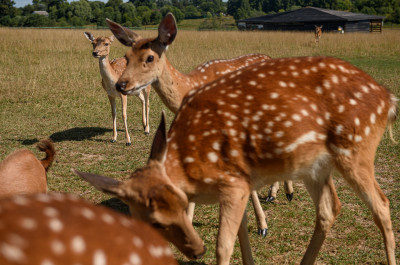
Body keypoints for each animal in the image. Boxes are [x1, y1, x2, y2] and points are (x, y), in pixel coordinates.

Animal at [74, 49, 396, 262]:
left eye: (149, 58)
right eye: (125, 58)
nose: (121, 84)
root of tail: (389, 100)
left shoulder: (234, 172)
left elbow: (225, 239)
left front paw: (262, 226)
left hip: (354, 150)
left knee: (381, 204)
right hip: (316, 165)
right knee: (331, 207)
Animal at [104, 13, 294, 234]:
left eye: (150, 57)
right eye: (126, 56)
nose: (121, 85)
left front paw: (262, 226)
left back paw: (284, 193)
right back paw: (278, 192)